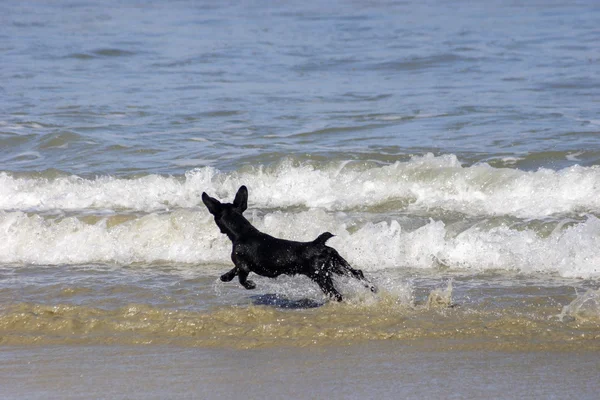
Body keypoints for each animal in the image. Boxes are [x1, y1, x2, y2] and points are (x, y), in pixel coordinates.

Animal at [204, 185, 378, 300]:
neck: (241, 232)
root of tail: (318, 244)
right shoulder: (241, 265)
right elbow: (233, 271)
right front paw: (225, 276)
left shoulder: (243, 265)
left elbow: (241, 277)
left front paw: (250, 285)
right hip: (337, 265)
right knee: (357, 273)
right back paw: (372, 288)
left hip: (321, 276)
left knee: (336, 293)